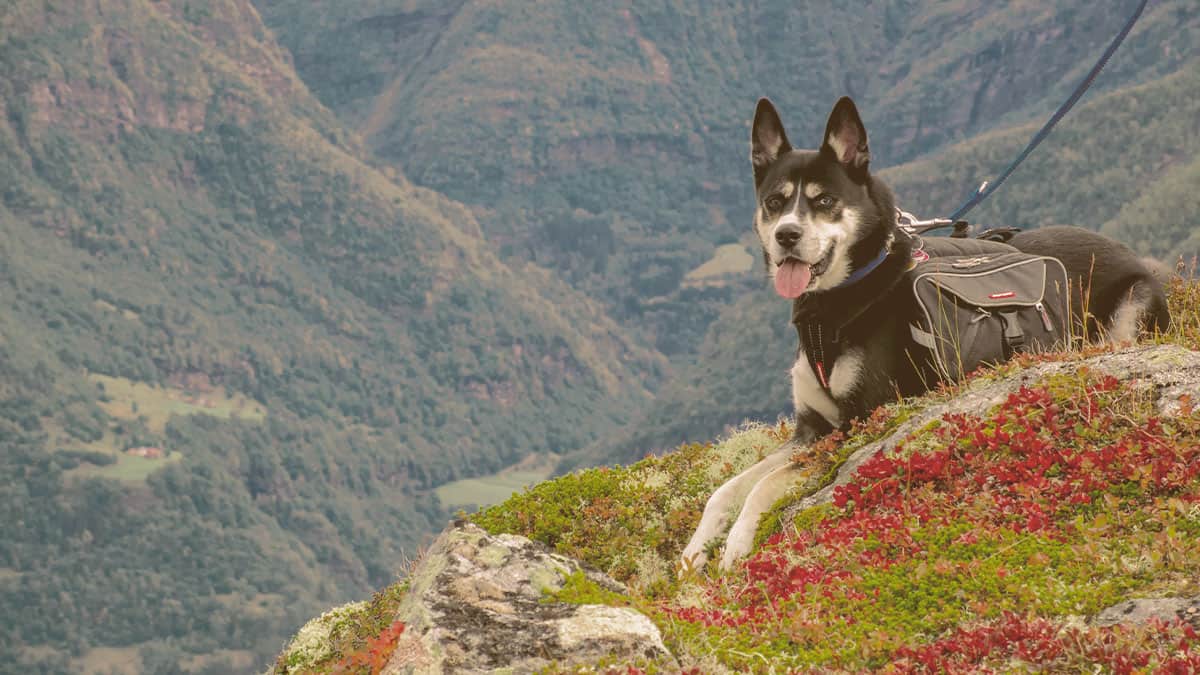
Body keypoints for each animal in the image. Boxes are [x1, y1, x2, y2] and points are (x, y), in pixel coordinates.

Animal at [686, 96, 1171, 566]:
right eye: (775, 202)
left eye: (824, 201)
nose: (786, 235)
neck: (838, 303)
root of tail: (1129, 252)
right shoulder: (810, 429)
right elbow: (727, 488)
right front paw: (696, 550)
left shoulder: (858, 422)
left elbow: (764, 484)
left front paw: (736, 543)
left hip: (1130, 311)